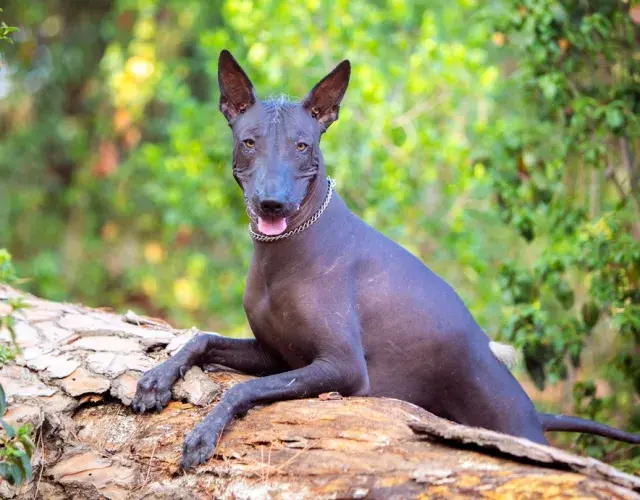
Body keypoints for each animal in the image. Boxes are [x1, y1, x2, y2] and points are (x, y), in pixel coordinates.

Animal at [131, 49, 640, 468]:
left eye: (302, 145)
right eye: (249, 142)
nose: (272, 203)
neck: (287, 250)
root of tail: (533, 411)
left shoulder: (339, 367)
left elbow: (244, 387)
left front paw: (204, 433)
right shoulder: (276, 355)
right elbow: (203, 339)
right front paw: (157, 378)